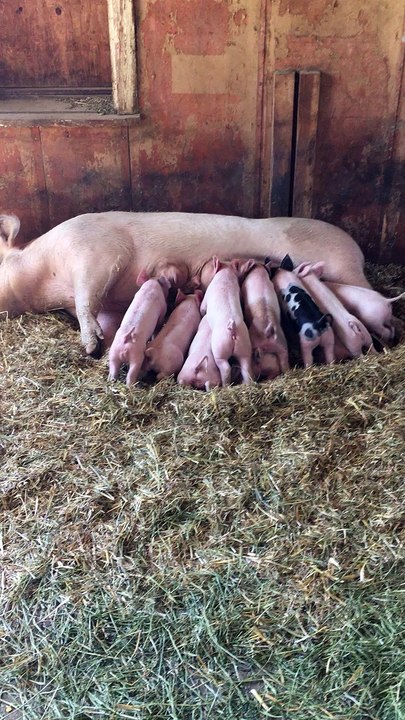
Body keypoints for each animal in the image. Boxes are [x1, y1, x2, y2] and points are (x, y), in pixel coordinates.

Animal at [0, 211, 371, 357]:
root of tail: (358, 251)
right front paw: (104, 343)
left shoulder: (95, 253)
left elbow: (86, 297)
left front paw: (91, 345)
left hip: (345, 267)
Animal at [200, 256, 253, 385]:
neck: (226, 275)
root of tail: (233, 327)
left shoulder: (207, 294)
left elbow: (202, 307)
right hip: (245, 346)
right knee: (246, 367)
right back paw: (247, 384)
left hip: (220, 347)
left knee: (225, 367)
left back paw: (225, 385)